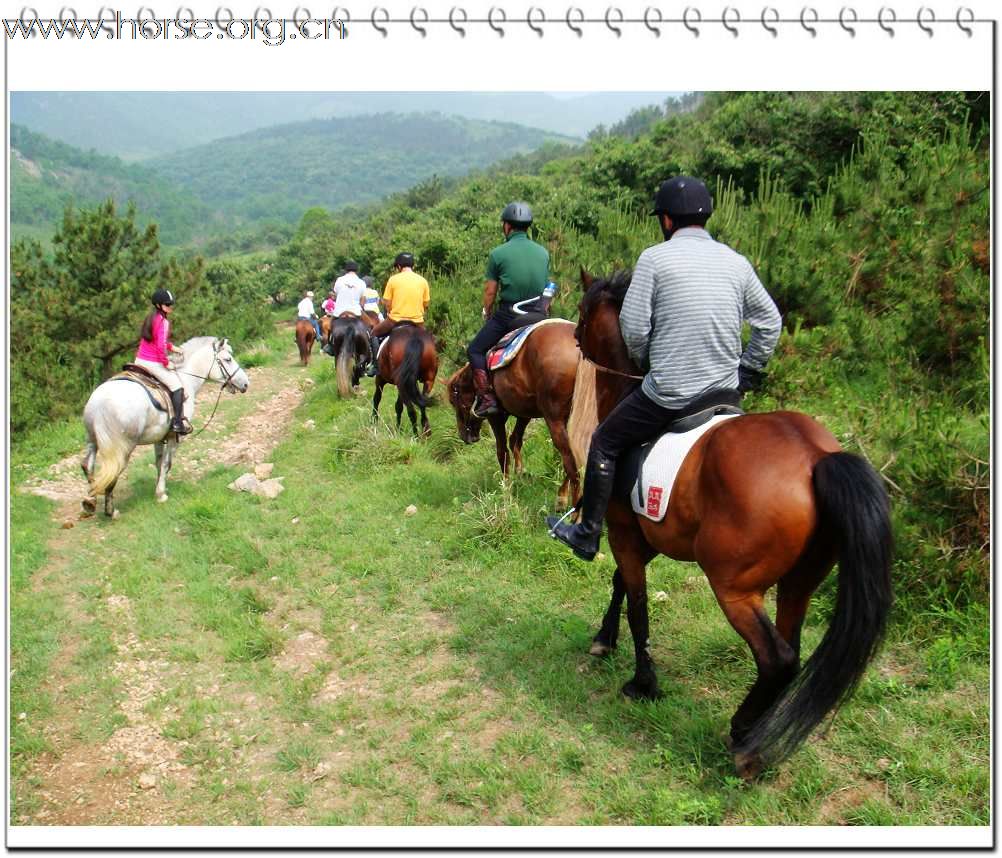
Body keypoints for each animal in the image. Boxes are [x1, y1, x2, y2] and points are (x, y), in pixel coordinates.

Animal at [82, 338, 250, 521]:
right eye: (228, 359)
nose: (246, 383)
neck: (185, 378)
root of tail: (100, 403)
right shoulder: (174, 437)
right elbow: (166, 464)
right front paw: (161, 494)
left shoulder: (159, 437)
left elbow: (158, 462)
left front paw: (160, 487)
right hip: (123, 447)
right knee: (113, 471)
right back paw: (110, 511)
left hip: (92, 441)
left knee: (87, 465)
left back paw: (90, 503)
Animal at [446, 320, 585, 509]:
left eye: (454, 401)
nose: (464, 436)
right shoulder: (524, 412)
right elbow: (515, 440)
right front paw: (520, 472)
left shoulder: (495, 417)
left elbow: (502, 451)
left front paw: (506, 489)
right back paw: (562, 498)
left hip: (554, 419)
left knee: (570, 460)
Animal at [573, 270, 893, 781]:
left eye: (584, 314)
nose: (574, 339)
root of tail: (815, 458)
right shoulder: (646, 536)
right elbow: (621, 583)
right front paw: (605, 640)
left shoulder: (624, 532)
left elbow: (637, 600)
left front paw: (643, 683)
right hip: (799, 582)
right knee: (791, 650)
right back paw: (758, 731)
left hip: (734, 587)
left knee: (777, 658)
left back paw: (743, 737)